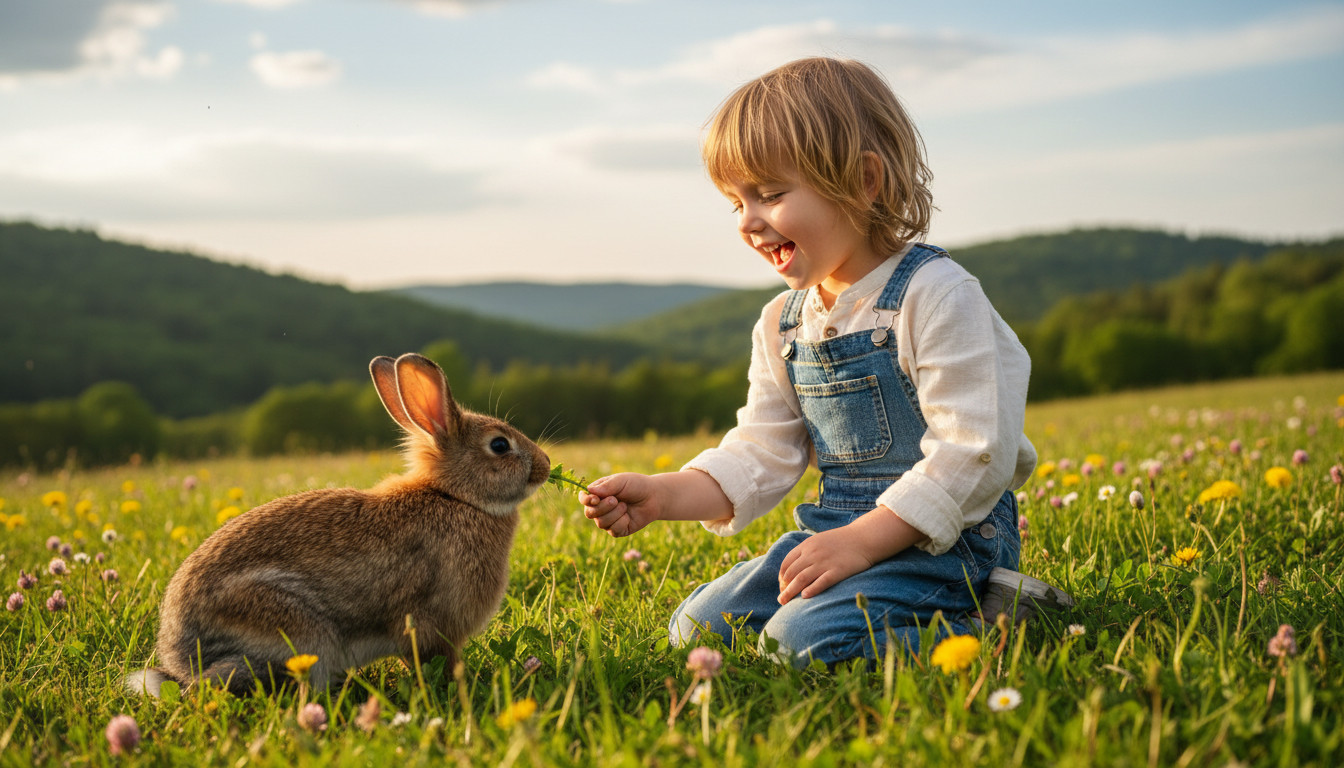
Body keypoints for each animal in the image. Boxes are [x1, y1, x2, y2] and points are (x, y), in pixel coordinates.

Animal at [126, 353, 550, 696]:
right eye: (500, 445)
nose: (545, 465)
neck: (455, 497)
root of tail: (180, 656)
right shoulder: (428, 625)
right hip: (297, 632)